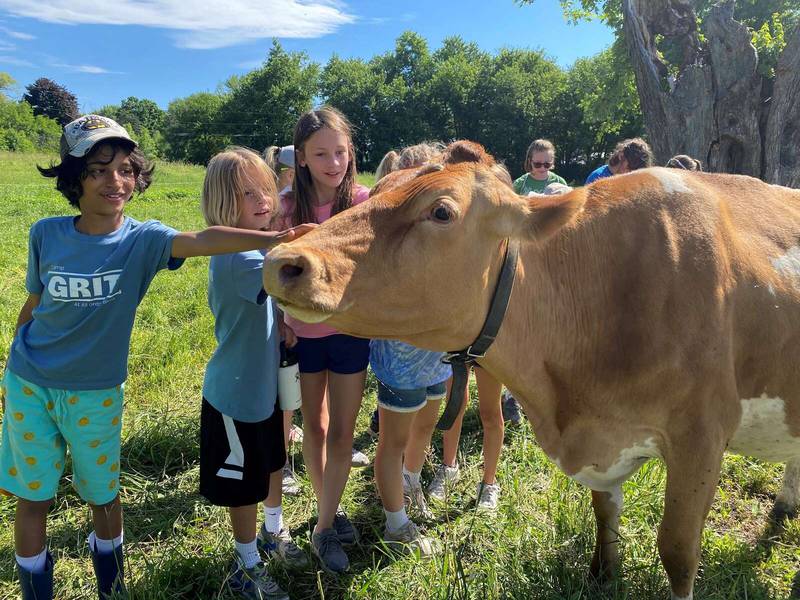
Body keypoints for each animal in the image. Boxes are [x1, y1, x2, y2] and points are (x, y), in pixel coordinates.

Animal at [264, 142, 800, 600]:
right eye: (375, 190)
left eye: (441, 211)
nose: (282, 260)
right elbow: (605, 512)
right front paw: (603, 577)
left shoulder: (701, 435)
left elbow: (678, 551)